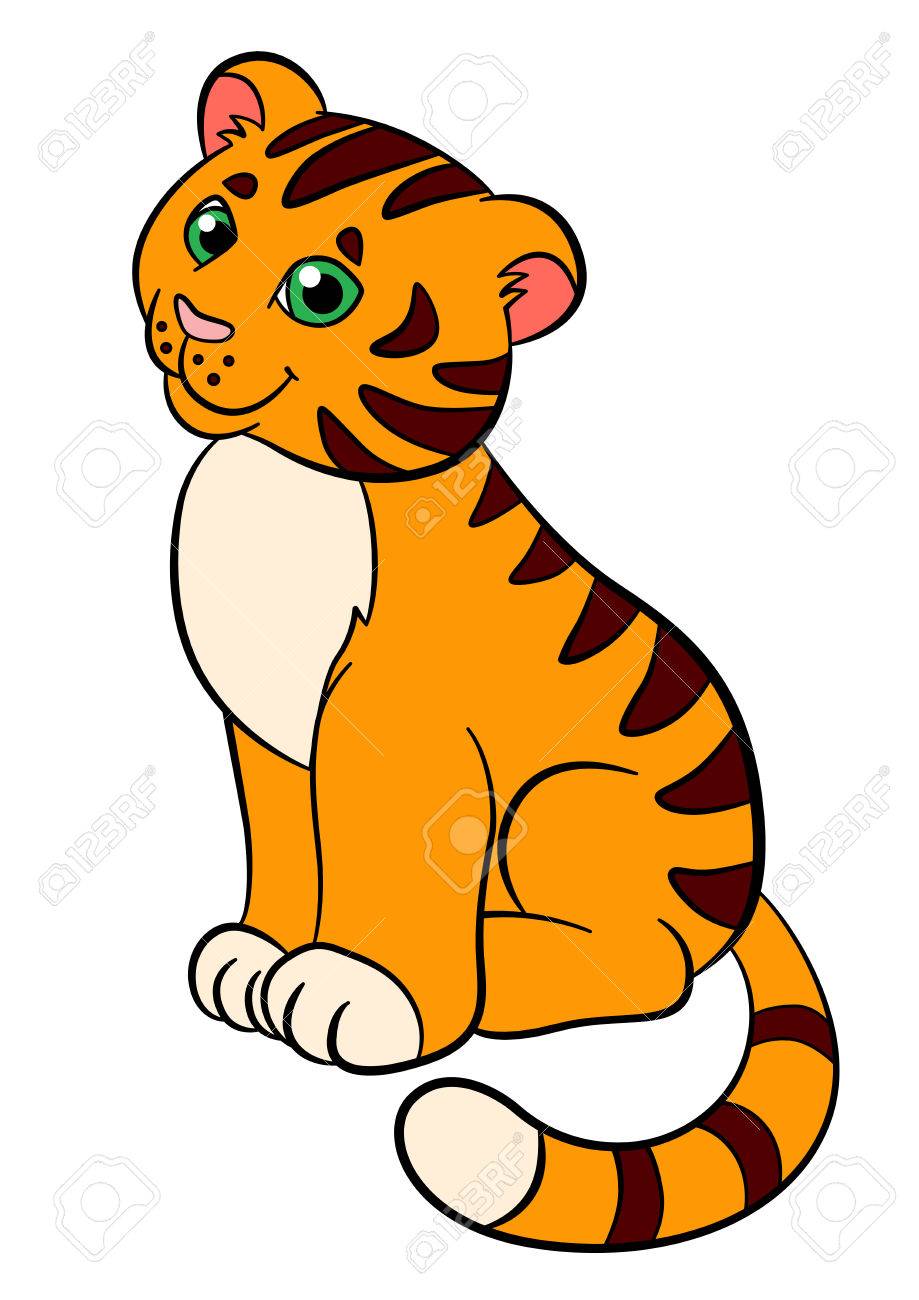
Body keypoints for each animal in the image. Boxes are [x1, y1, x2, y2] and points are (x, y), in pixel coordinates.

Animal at [133, 51, 837, 1252]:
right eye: (213, 228)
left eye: (320, 291)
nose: (198, 321)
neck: (282, 479)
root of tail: (747, 889)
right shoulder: (265, 733)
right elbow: (290, 855)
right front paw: (261, 956)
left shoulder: (397, 735)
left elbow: (383, 880)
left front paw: (355, 992)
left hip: (570, 808)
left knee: (649, 974)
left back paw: (487, 976)